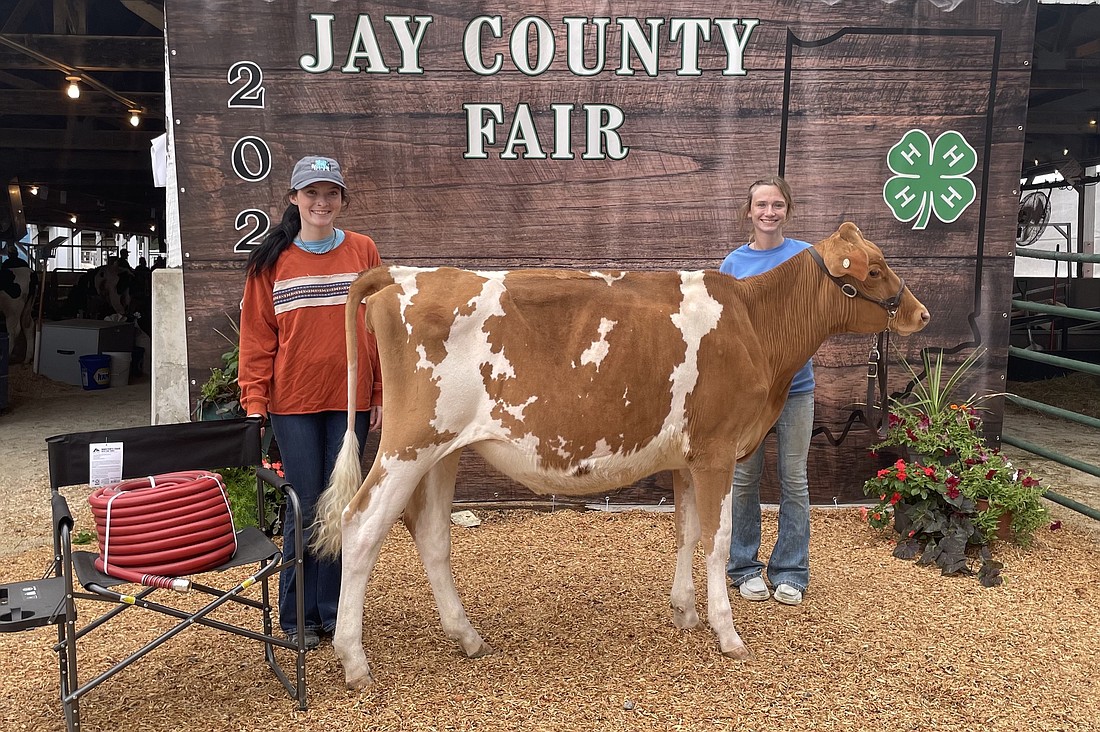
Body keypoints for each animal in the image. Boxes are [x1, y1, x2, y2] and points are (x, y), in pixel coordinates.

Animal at [316, 220, 928, 686]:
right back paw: (354, 661)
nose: (920, 314)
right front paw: (727, 633)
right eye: (875, 269)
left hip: (444, 449)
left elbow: (686, 531)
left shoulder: (686, 457)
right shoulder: (717, 449)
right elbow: (717, 538)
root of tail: (404, 274)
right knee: (361, 525)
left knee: (431, 534)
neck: (754, 324)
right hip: (408, 443)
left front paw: (685, 611)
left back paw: (468, 637)